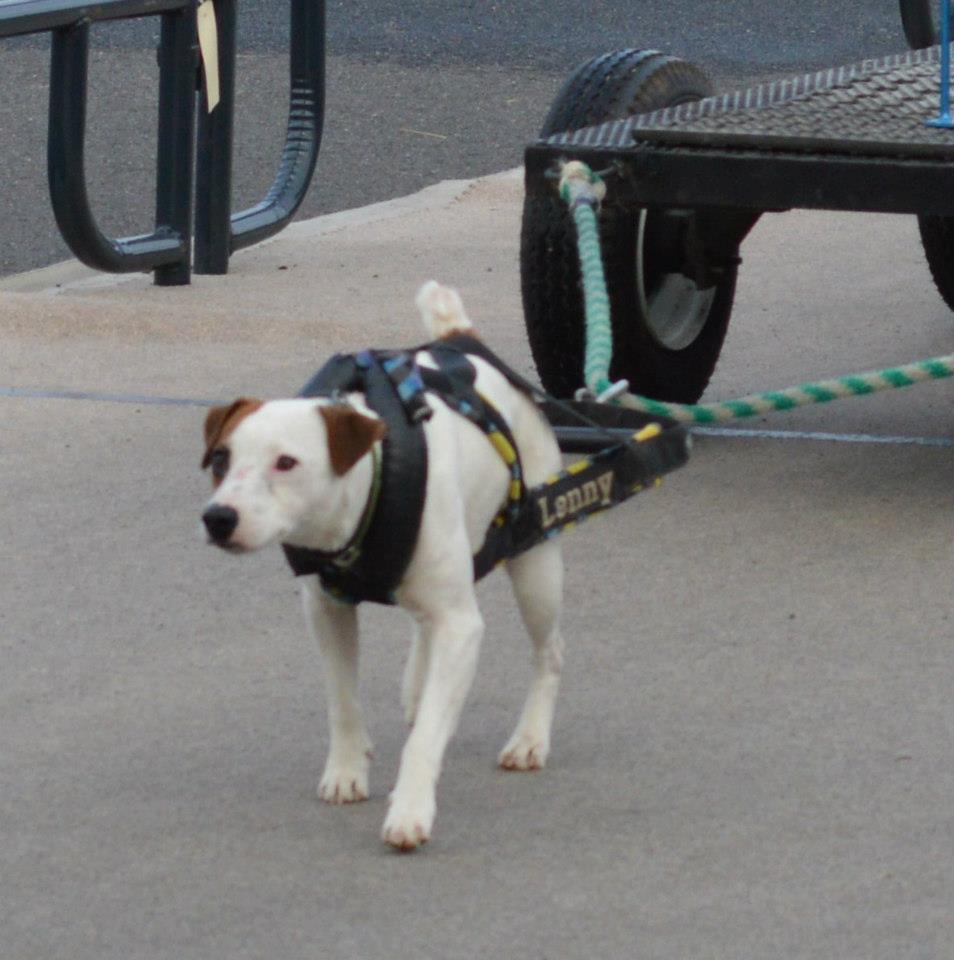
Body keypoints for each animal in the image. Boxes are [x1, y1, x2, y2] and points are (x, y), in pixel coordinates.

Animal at [197, 284, 560, 848]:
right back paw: (418, 681)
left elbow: (428, 735)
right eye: (220, 459)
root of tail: (462, 339)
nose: (218, 518)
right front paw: (347, 770)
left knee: (549, 653)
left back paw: (529, 738)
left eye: (286, 462)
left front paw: (410, 810)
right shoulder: (327, 611)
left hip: (535, 564)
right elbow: (342, 700)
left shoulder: (462, 625)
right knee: (425, 627)